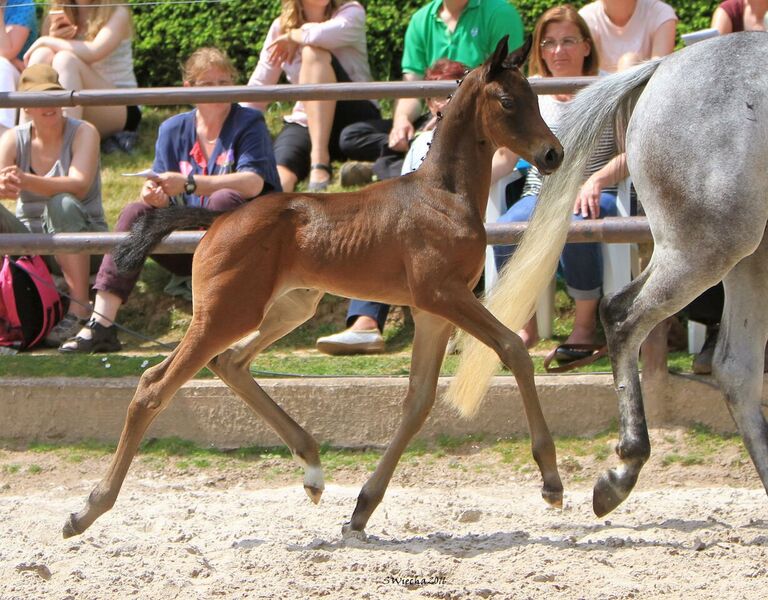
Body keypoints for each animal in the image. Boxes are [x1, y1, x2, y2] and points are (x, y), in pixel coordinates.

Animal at [61, 37, 564, 540]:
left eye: (537, 98)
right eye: (507, 101)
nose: (552, 154)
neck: (443, 194)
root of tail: (220, 218)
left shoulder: (433, 314)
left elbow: (419, 401)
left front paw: (362, 508)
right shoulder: (443, 295)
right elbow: (512, 350)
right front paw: (550, 481)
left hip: (287, 309)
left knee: (230, 363)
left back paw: (313, 469)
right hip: (227, 313)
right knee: (155, 385)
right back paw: (86, 510)